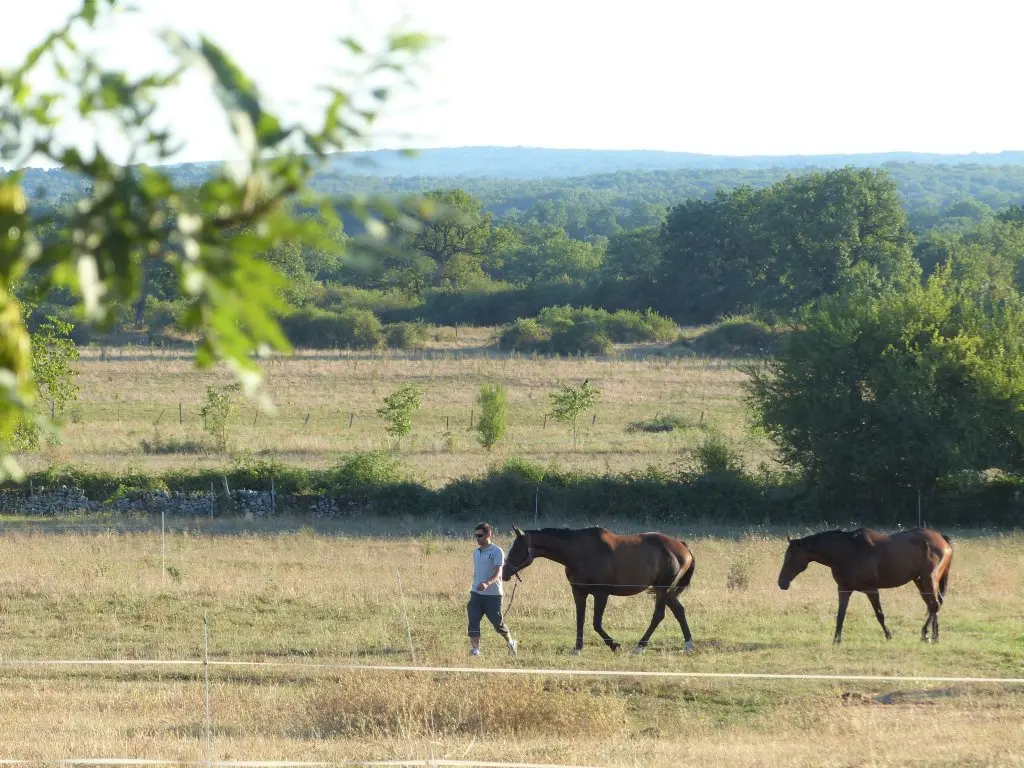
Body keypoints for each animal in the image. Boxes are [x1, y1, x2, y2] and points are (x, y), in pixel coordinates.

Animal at [501, 528, 696, 655]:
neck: (579, 553)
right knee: (679, 611)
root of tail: (682, 545)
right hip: (666, 591)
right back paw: (688, 645)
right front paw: (577, 648)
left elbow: (596, 623)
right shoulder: (579, 592)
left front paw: (614, 645)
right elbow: (580, 620)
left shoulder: (601, 594)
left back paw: (640, 646)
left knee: (658, 615)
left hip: (662, 590)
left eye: (516, 548)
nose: (504, 572)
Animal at [778, 528, 954, 647]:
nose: (781, 583)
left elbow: (880, 614)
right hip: (920, 581)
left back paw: (925, 634)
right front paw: (836, 640)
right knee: (934, 605)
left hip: (928, 579)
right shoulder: (844, 589)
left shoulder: (871, 590)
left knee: (934, 605)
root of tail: (942, 538)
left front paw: (889, 635)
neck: (848, 552)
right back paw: (935, 637)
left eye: (790, 556)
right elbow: (840, 615)